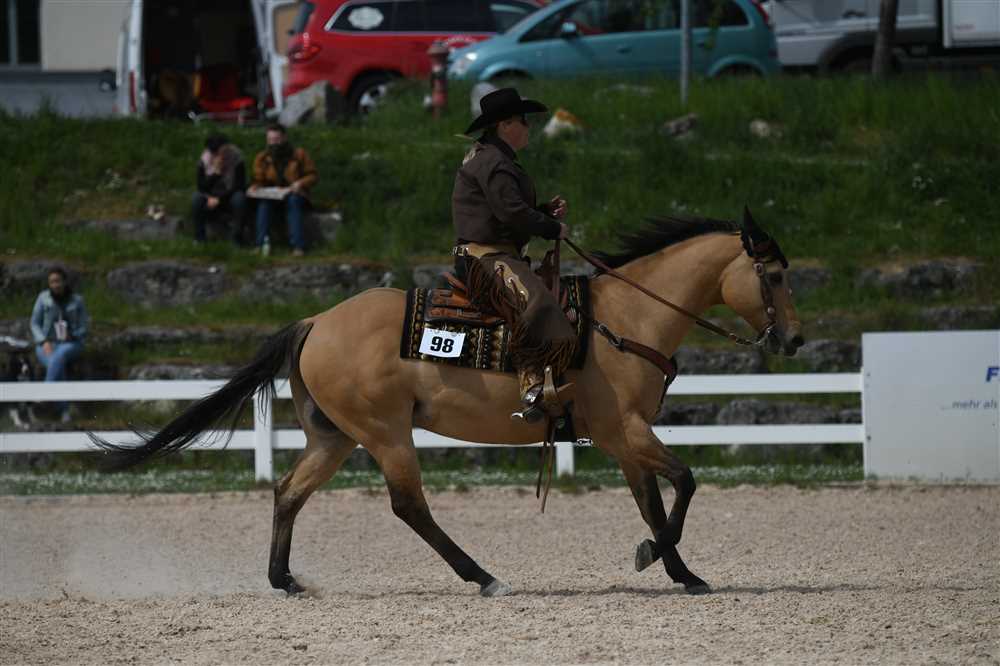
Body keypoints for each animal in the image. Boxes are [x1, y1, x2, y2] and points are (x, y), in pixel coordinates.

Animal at [93, 208, 803, 598]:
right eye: (773, 275)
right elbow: (686, 481)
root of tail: (317, 320)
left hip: (334, 436)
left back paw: (285, 580)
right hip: (385, 433)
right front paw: (655, 556)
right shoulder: (621, 431)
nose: (793, 339)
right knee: (409, 506)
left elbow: (656, 501)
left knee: (289, 491)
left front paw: (681, 572)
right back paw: (483, 576)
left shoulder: (628, 440)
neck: (625, 320)